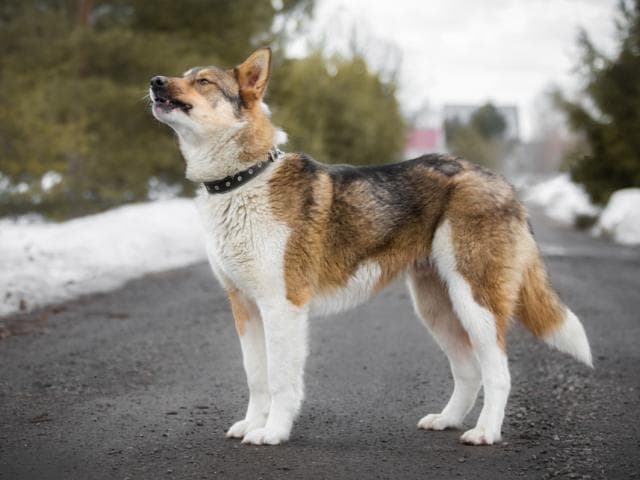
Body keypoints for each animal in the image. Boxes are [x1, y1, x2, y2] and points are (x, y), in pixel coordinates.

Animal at [149, 48, 592, 446]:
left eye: (203, 81)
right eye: (184, 74)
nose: (155, 81)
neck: (243, 179)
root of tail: (502, 182)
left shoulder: (283, 306)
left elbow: (280, 381)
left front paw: (272, 433)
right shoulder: (244, 307)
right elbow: (256, 377)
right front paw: (251, 425)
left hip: (475, 302)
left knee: (498, 373)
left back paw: (485, 433)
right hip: (436, 308)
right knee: (468, 372)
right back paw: (446, 420)